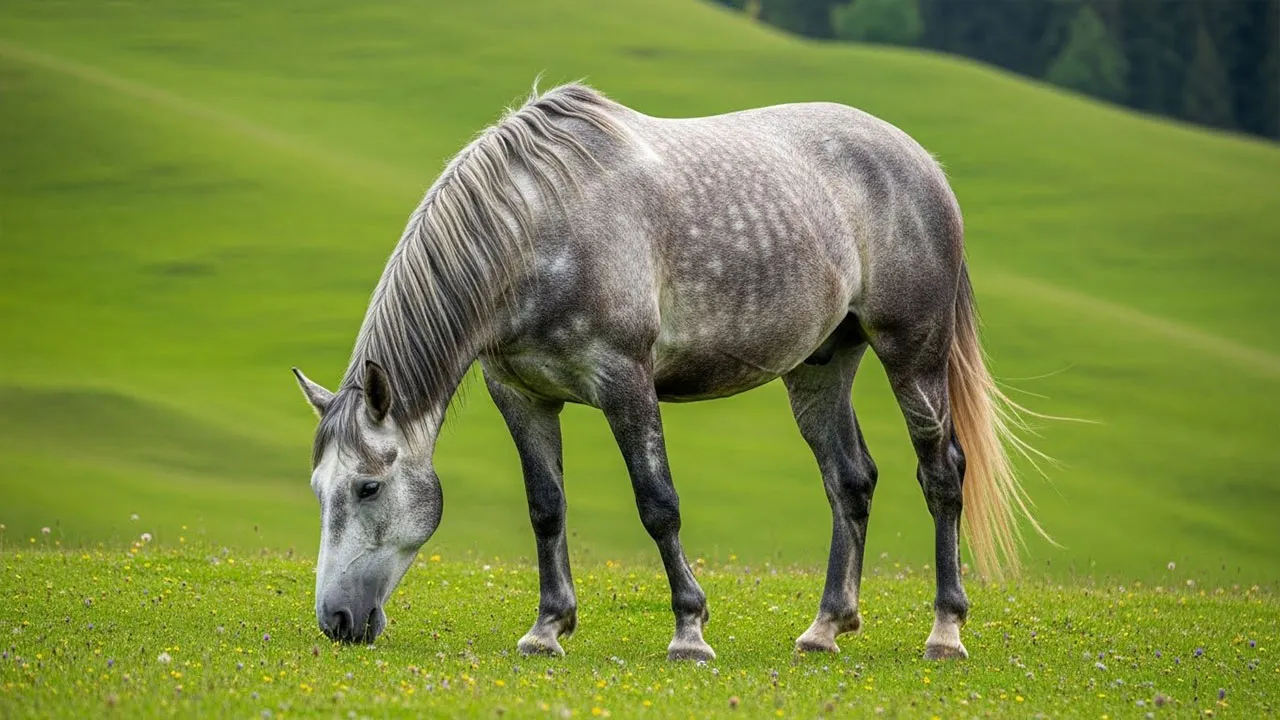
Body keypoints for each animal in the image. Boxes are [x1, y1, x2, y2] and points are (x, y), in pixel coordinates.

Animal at [291, 82, 1045, 661]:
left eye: (366, 487)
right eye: (319, 488)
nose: (336, 621)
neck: (537, 229)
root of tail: (923, 163)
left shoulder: (625, 382)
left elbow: (658, 504)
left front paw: (689, 631)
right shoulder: (523, 396)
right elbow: (545, 508)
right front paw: (547, 629)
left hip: (913, 354)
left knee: (941, 474)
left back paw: (945, 631)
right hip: (821, 366)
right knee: (850, 481)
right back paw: (826, 628)